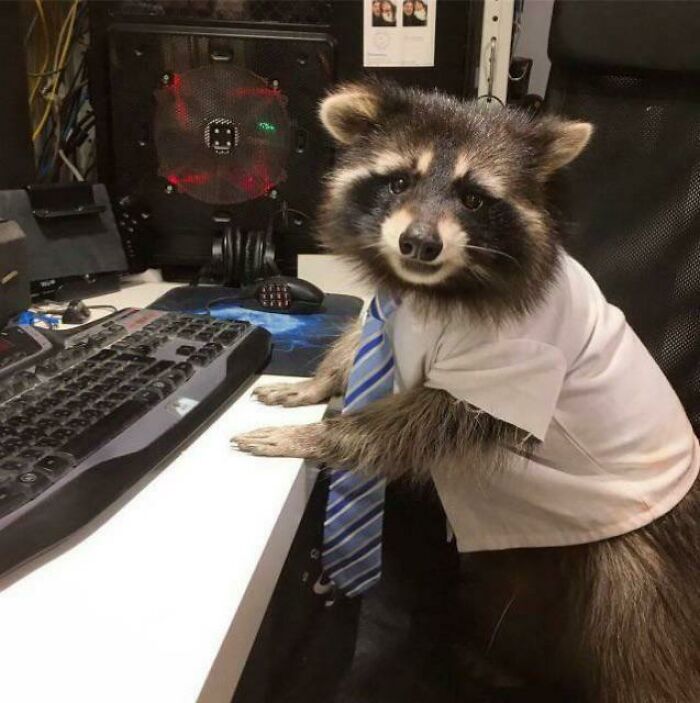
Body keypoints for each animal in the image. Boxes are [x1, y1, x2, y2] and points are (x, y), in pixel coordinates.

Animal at [233, 81, 700, 702]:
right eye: (399, 181)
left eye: (474, 199)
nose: (418, 243)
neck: (428, 287)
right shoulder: (389, 309)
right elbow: (358, 338)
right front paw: (319, 382)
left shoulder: (517, 358)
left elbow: (421, 420)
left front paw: (320, 434)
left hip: (643, 561)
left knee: (642, 637)